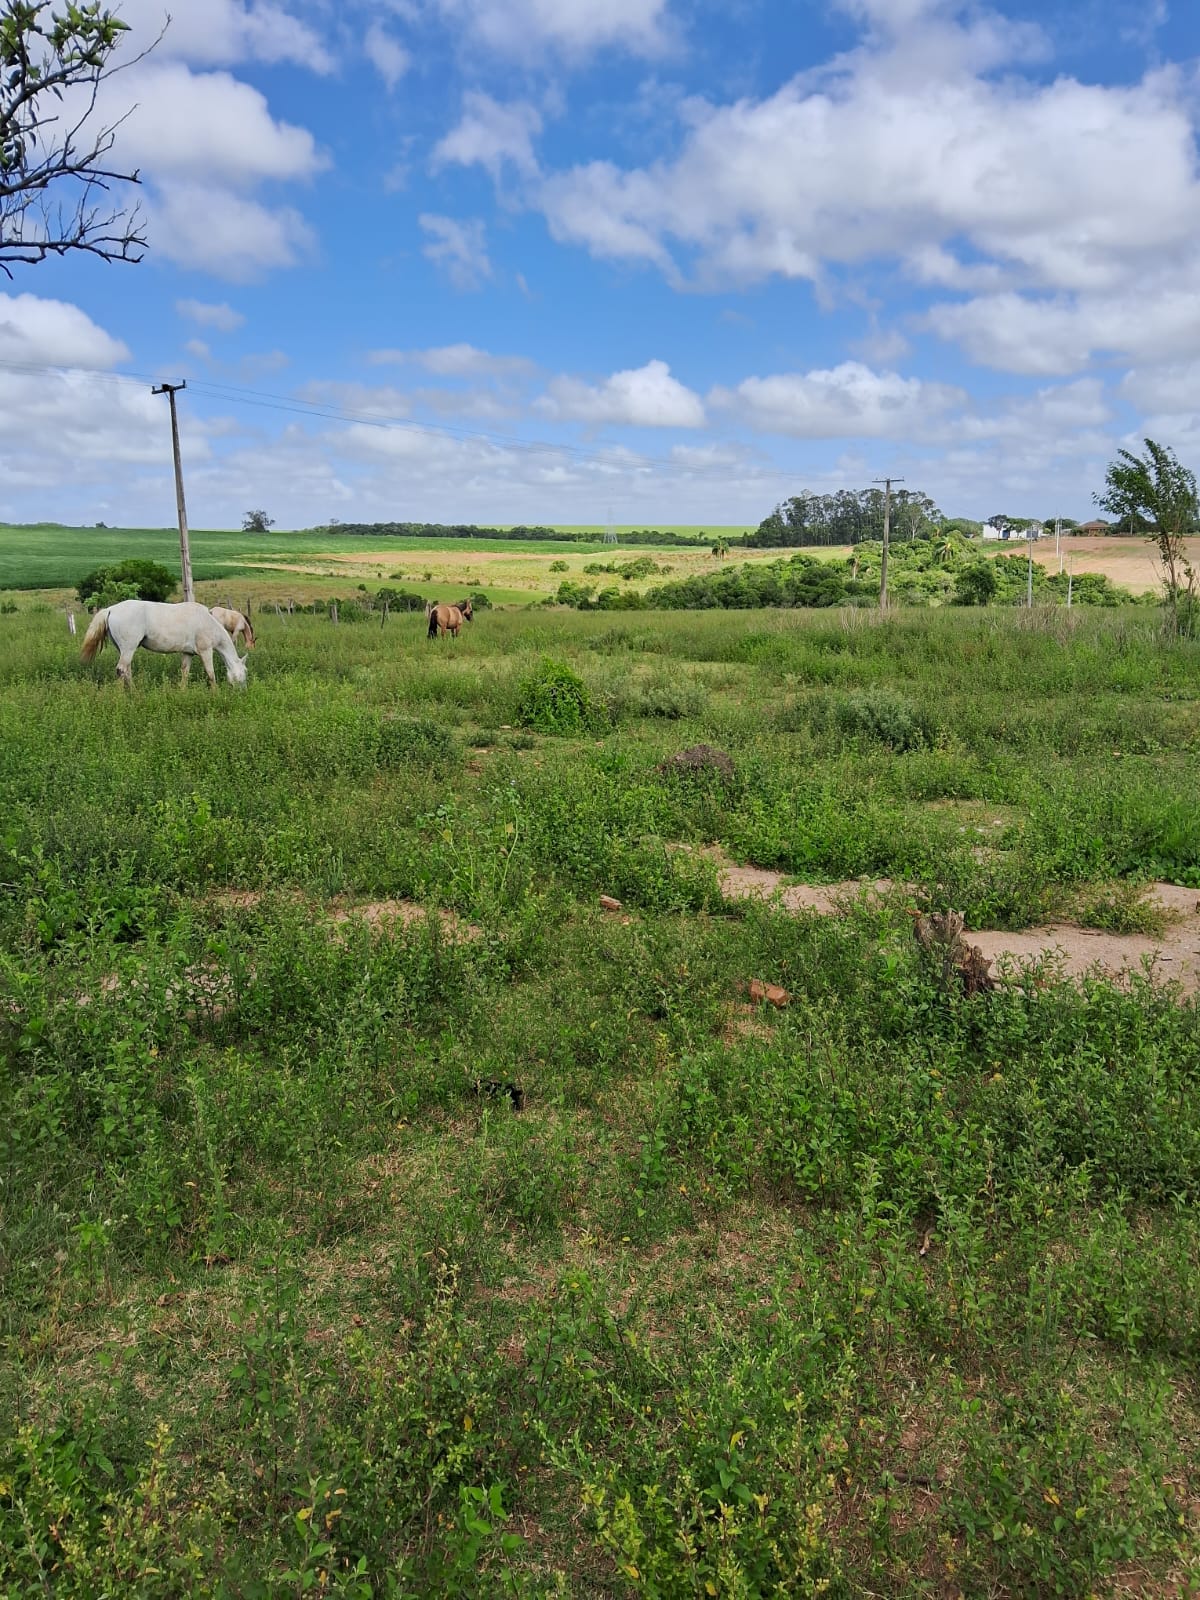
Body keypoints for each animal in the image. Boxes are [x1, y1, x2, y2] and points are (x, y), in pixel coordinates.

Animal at [81, 592, 248, 684]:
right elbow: (211, 674)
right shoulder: (206, 651)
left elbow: (185, 673)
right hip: (128, 649)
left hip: (124, 650)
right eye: (245, 671)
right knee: (121, 670)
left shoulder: (188, 653)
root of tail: (110, 609)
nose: (244, 691)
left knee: (127, 671)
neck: (208, 622)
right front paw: (216, 694)